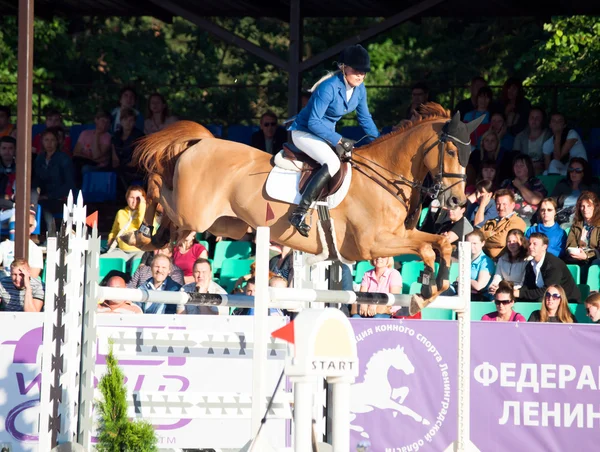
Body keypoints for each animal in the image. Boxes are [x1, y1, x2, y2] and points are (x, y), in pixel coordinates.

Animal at [125, 103, 482, 312]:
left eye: (469, 154)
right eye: (452, 151)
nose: (457, 202)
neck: (384, 177)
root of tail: (203, 142)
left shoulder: (396, 237)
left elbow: (441, 243)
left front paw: (429, 290)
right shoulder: (373, 244)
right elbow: (427, 248)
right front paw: (426, 288)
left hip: (223, 224)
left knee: (172, 221)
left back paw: (152, 238)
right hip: (194, 212)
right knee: (157, 184)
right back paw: (139, 233)